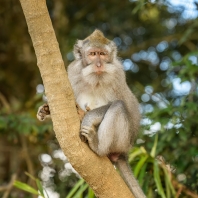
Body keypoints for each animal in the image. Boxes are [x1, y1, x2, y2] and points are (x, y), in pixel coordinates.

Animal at [37, 29, 145, 198]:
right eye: (93, 54)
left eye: (103, 54)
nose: (99, 64)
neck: (96, 78)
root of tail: (124, 152)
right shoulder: (73, 71)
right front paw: (46, 109)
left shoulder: (117, 73)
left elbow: (124, 105)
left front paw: (87, 118)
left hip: (122, 141)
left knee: (118, 106)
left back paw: (97, 146)